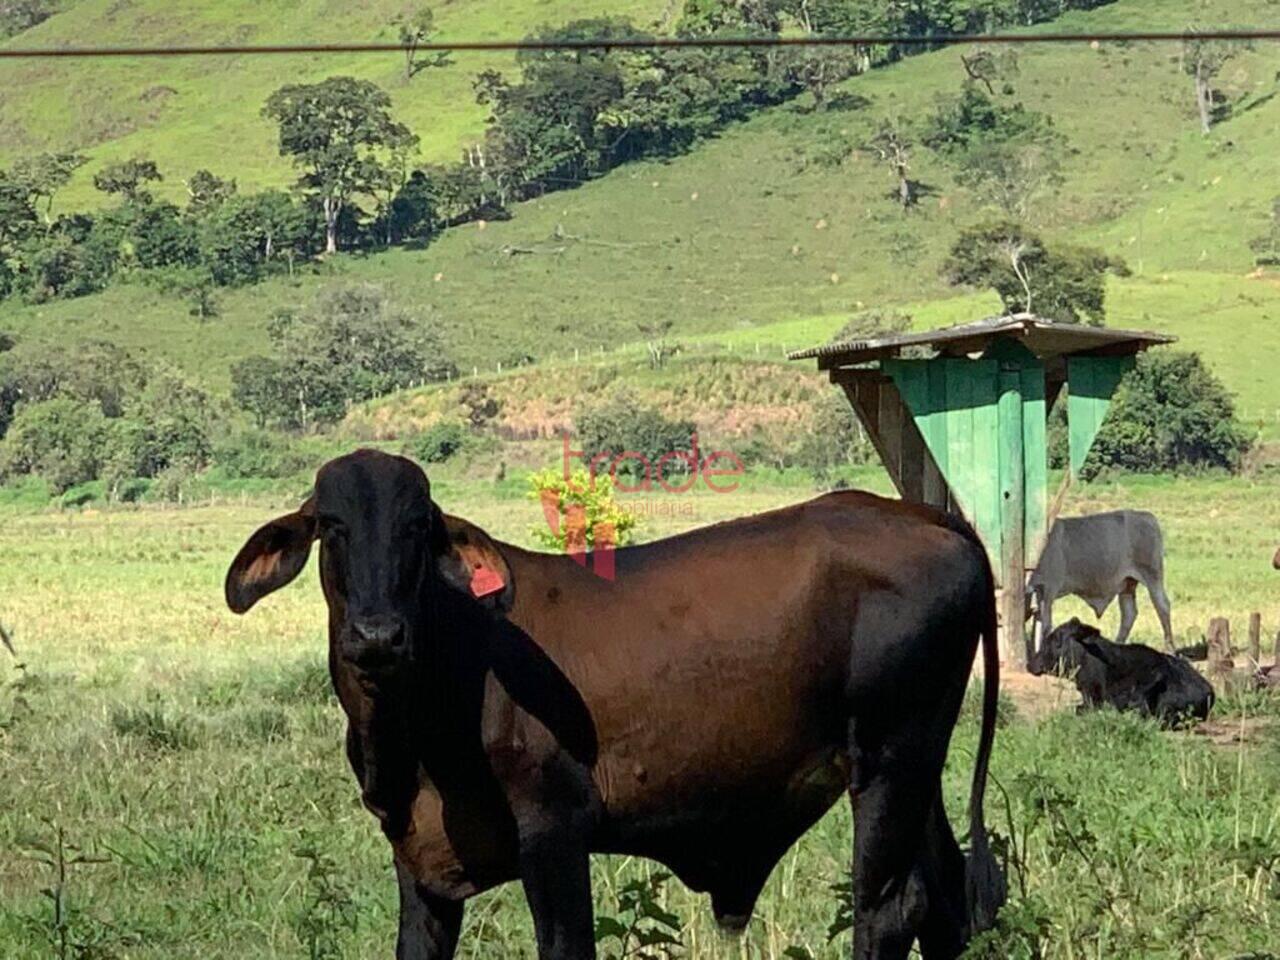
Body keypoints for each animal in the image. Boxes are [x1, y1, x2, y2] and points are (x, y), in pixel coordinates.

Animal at [230, 450, 1008, 960]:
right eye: (331, 527)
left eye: (419, 526)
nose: (377, 635)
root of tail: (922, 514)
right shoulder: (419, 865)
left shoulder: (554, 830)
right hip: (915, 769)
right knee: (945, 903)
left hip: (890, 759)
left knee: (889, 909)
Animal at [1024, 512, 1172, 655]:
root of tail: (1147, 516)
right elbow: (1037, 624)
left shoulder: (1048, 589)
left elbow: (1045, 626)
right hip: (1127, 584)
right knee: (1129, 613)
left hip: (1152, 576)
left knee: (1162, 606)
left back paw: (1169, 648)